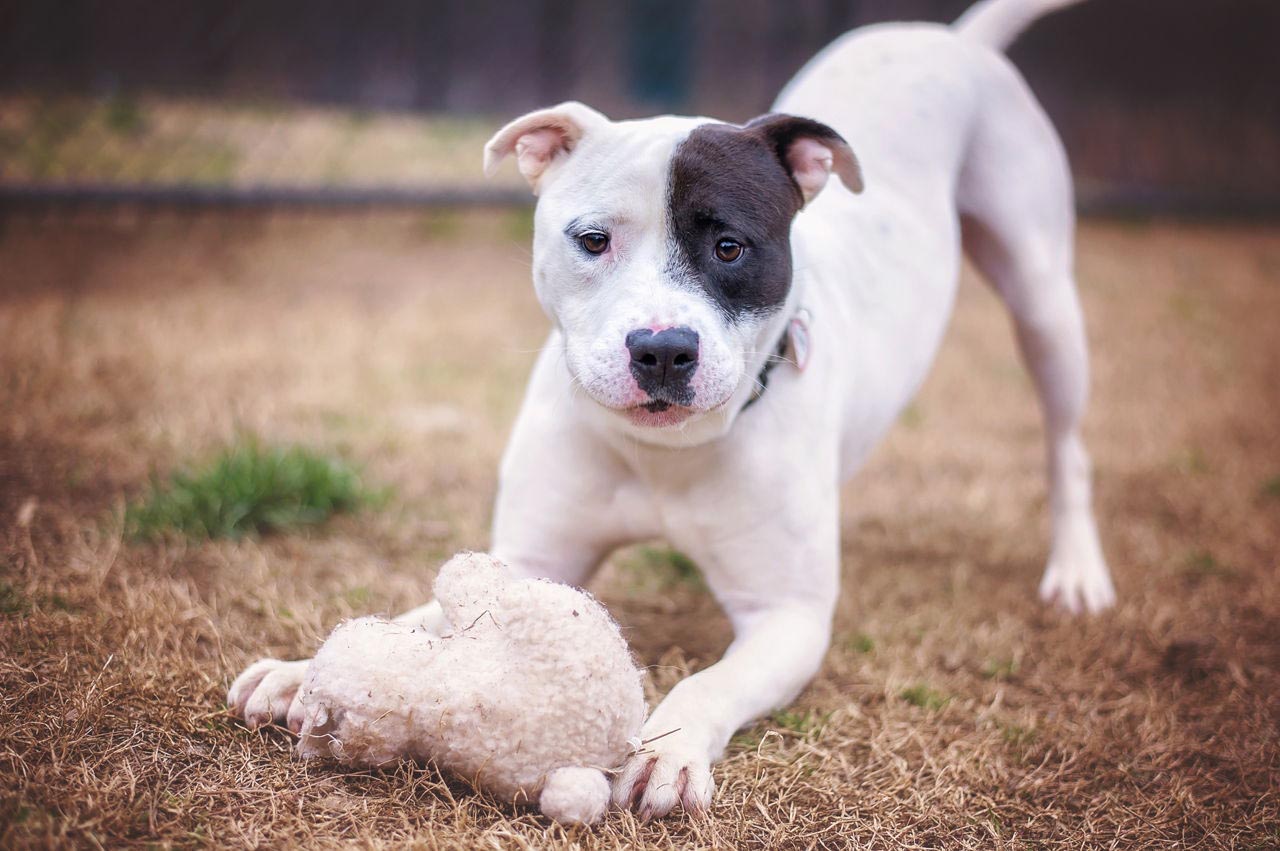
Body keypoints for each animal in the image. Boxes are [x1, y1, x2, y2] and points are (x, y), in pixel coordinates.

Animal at [227, 0, 1111, 819]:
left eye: (730, 247)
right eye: (592, 240)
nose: (661, 349)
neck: (663, 453)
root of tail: (952, 41)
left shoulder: (786, 617)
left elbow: (710, 682)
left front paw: (667, 750)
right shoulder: (529, 556)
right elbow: (422, 617)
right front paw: (307, 670)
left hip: (1046, 302)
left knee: (1068, 446)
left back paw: (1076, 572)